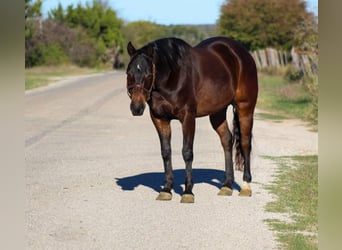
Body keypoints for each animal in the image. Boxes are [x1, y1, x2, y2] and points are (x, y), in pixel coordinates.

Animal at [125, 36, 256, 203]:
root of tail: (242, 53)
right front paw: (166, 189)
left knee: (245, 143)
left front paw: (188, 192)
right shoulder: (160, 119)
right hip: (217, 112)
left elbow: (187, 152)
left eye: (148, 74)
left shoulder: (188, 117)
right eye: (128, 73)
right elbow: (166, 152)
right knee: (227, 140)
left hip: (245, 108)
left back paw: (246, 186)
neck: (173, 75)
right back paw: (227, 185)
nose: (136, 108)